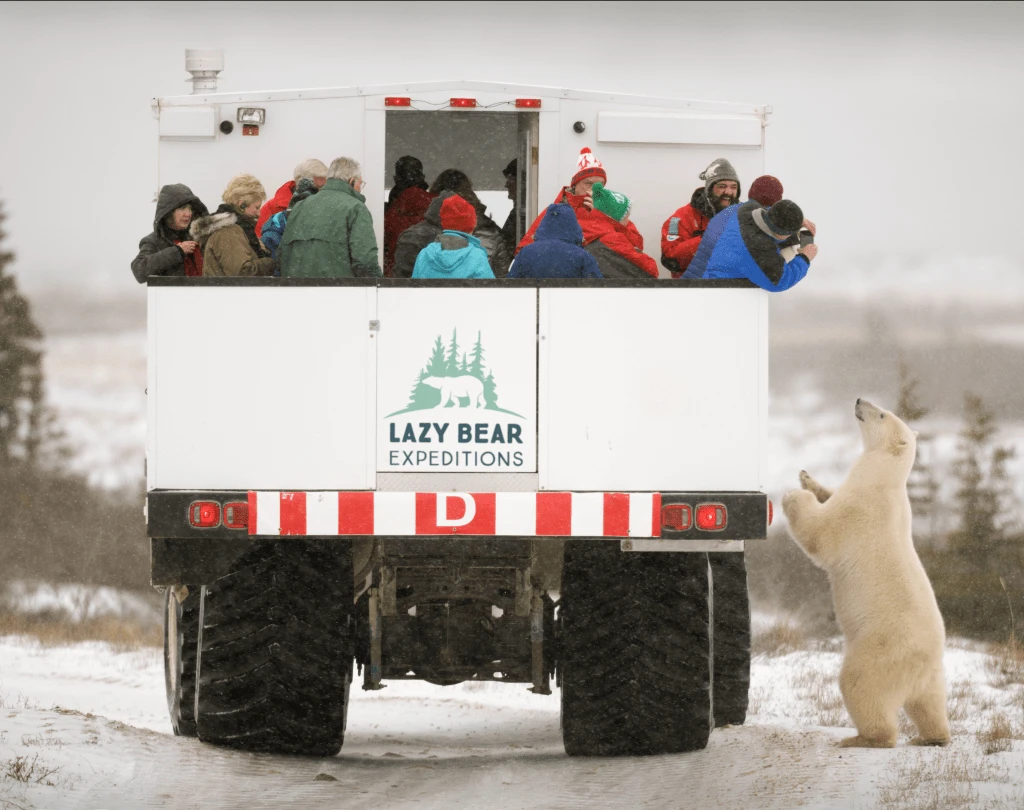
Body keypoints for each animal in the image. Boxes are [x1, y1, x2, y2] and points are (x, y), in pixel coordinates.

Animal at [782, 397, 950, 749]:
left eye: (882, 414)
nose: (860, 400)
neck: (884, 478)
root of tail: (918, 666)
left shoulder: (860, 509)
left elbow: (821, 533)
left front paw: (795, 494)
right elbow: (830, 496)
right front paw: (808, 479)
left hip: (879, 650)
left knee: (861, 686)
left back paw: (863, 738)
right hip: (933, 675)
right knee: (930, 703)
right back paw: (931, 737)